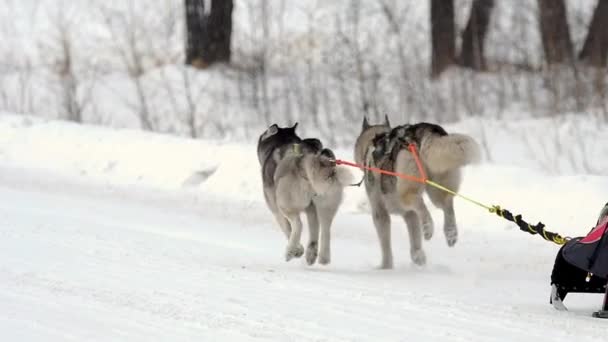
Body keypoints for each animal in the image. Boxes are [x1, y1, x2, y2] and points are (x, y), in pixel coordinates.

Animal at [256, 123, 352, 264]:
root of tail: (306, 160)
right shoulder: (311, 209)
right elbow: (314, 230)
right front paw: (309, 251)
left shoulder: (276, 210)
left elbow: (287, 229)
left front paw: (298, 250)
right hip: (326, 203)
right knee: (325, 229)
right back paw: (320, 256)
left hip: (285, 204)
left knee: (298, 225)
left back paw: (291, 250)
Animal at [356, 117, 480, 270]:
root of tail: (421, 130)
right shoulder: (410, 215)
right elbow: (415, 241)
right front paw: (418, 257)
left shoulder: (380, 213)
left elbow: (386, 245)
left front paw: (386, 266)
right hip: (437, 186)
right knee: (447, 204)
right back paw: (450, 232)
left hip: (406, 191)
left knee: (419, 203)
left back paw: (428, 227)